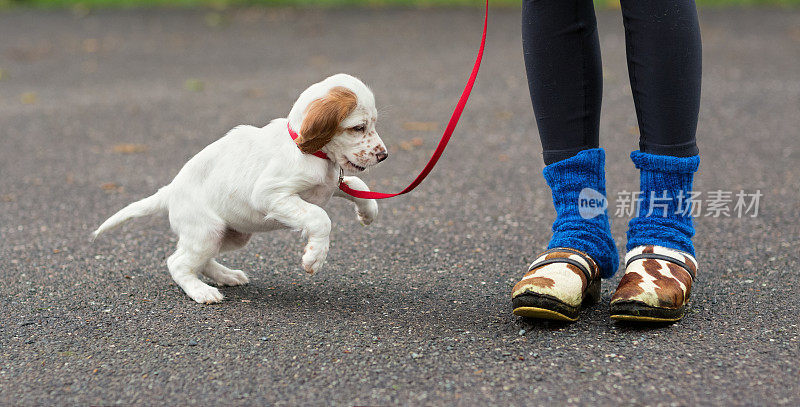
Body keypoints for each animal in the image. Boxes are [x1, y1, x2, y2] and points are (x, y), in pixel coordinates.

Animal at [94, 73, 388, 304]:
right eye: (358, 127)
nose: (384, 156)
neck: (309, 150)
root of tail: (171, 189)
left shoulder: (331, 183)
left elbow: (357, 184)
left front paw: (368, 213)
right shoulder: (270, 193)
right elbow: (320, 218)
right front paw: (314, 258)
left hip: (233, 234)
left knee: (200, 259)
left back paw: (226, 276)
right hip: (208, 230)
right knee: (176, 262)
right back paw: (201, 292)